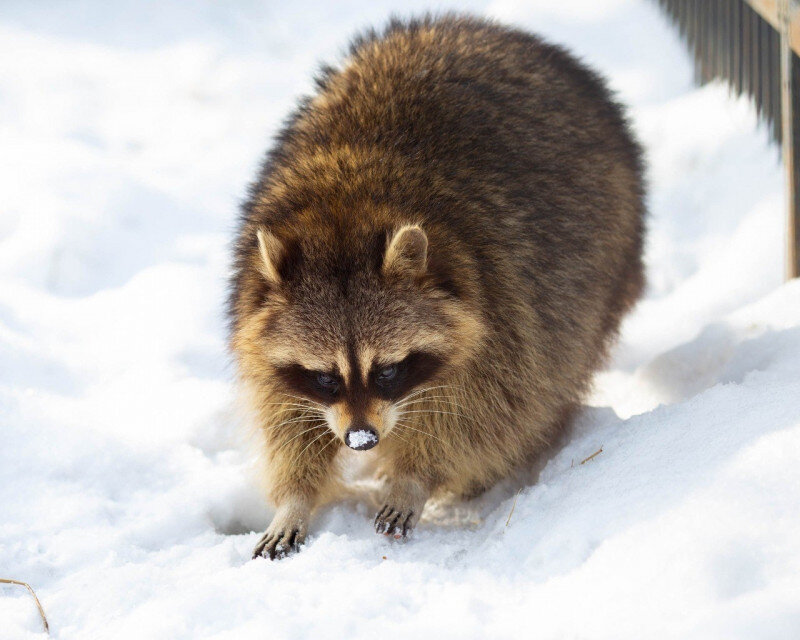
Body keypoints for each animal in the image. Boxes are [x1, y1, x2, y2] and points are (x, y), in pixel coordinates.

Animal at [227, 12, 644, 556]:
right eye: (325, 378)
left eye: (387, 371)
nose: (362, 440)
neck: (345, 211)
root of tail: (494, 29)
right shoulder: (257, 319)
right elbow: (288, 421)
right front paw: (295, 496)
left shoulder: (505, 311)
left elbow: (483, 416)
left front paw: (414, 478)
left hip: (609, 252)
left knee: (559, 368)